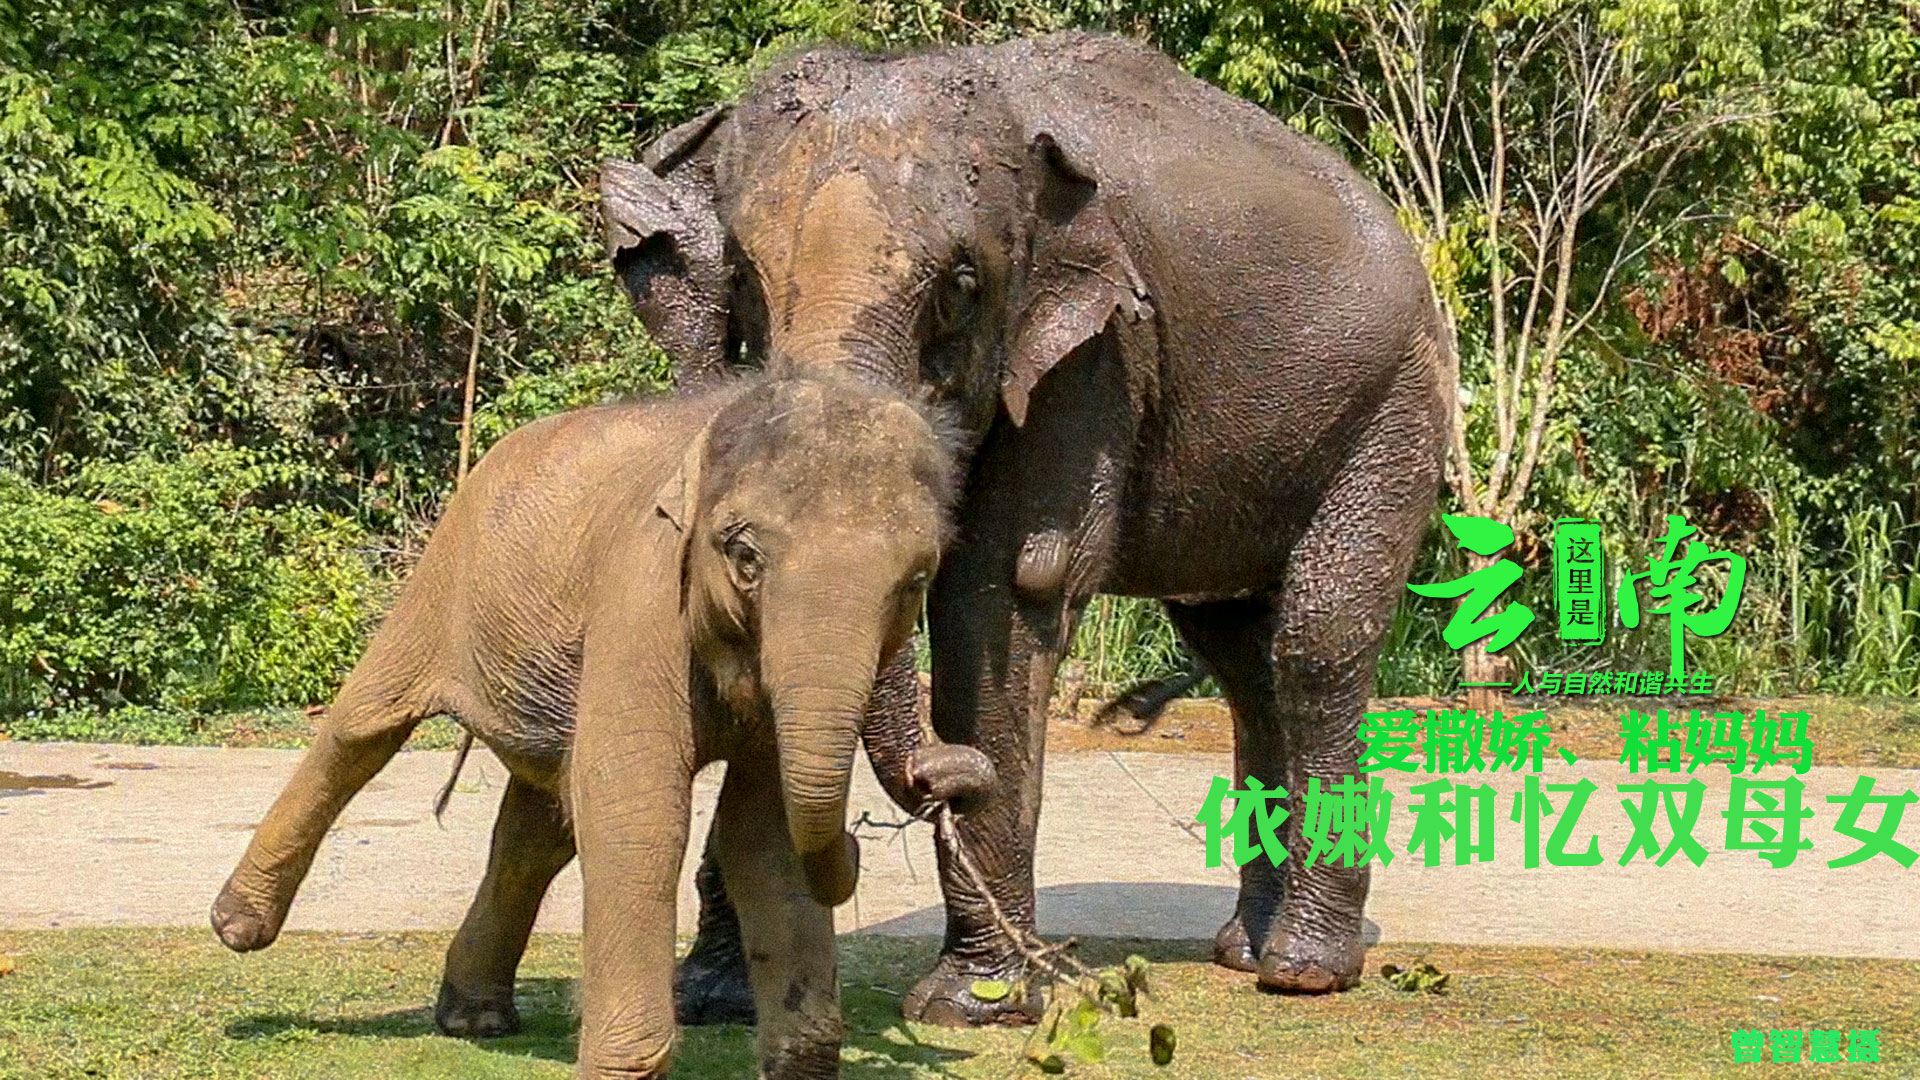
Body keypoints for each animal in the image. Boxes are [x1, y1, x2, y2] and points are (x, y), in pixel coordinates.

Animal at [209, 374, 995, 1080]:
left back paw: (475, 1020)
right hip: (441, 579)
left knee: (537, 826)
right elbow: (637, 808)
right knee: (362, 731)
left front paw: (801, 1065)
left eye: (917, 580)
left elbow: (762, 830)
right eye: (744, 556)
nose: (945, 777)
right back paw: (238, 926)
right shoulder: (640, 590)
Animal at [601, 30, 1450, 1025]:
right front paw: (715, 999)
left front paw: (974, 1003)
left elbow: (1003, 592)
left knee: (1316, 642)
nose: (944, 779)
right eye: (742, 279)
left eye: (961, 286)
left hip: (1395, 407)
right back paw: (1244, 950)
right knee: (1243, 656)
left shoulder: (1093, 356)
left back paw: (1304, 968)